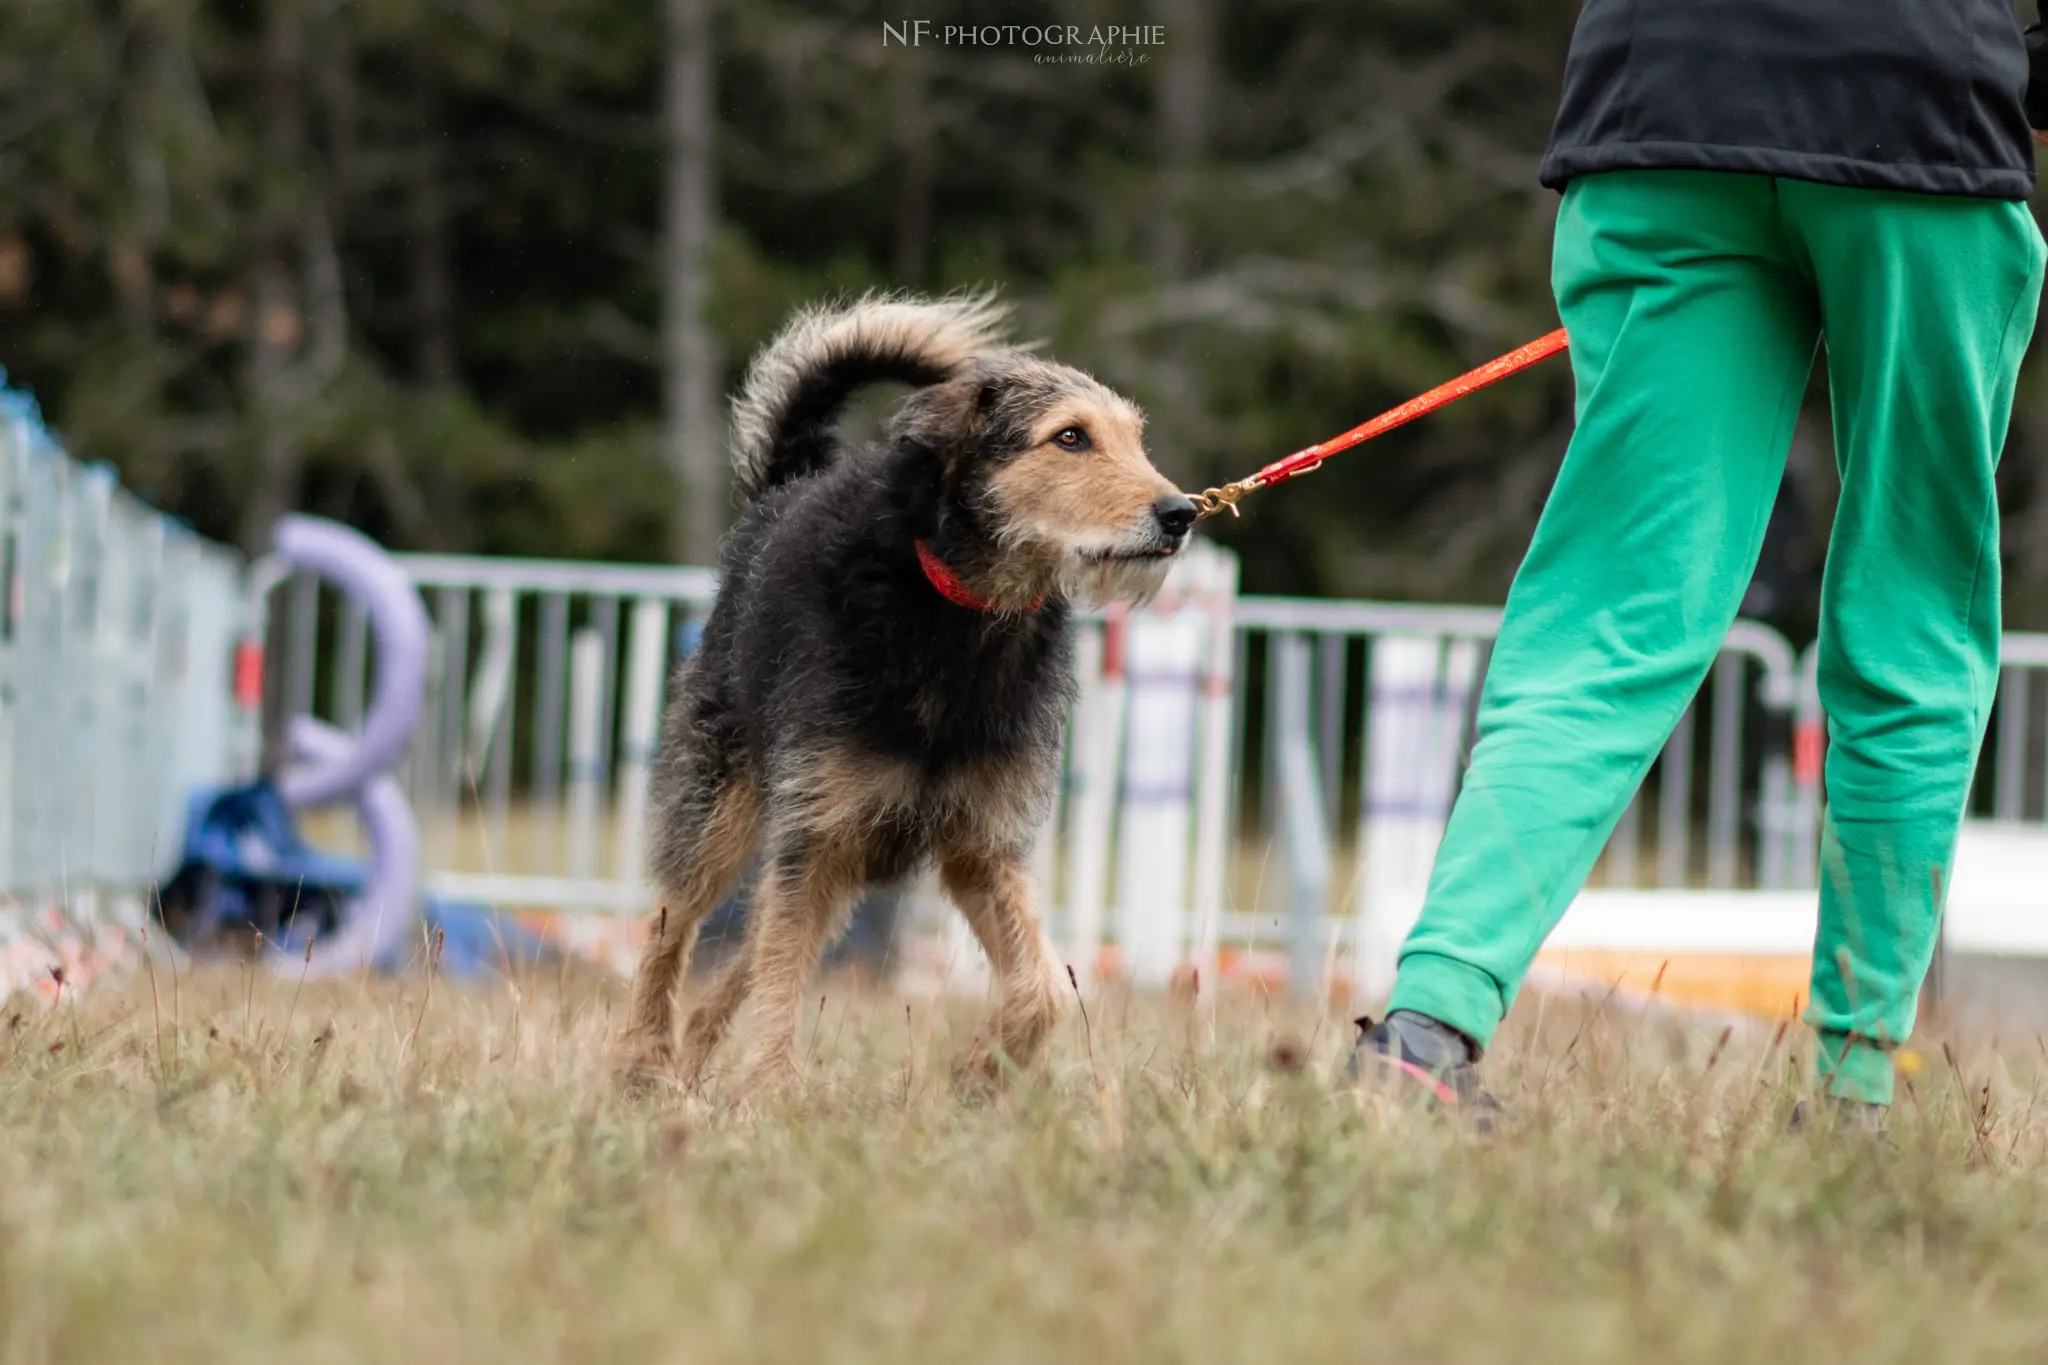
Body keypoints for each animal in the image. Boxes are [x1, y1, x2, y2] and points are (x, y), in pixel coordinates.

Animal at [618, 290, 1196, 1096]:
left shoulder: (981, 848)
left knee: (752, 948)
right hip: (722, 814)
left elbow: (1045, 985)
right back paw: (641, 1062)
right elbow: (776, 985)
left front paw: (981, 1068)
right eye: (1070, 437)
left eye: (1134, 439)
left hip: (847, 861)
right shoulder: (817, 835)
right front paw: (768, 1097)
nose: (1181, 513)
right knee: (674, 929)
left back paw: (695, 1059)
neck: (957, 612)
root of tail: (786, 487)